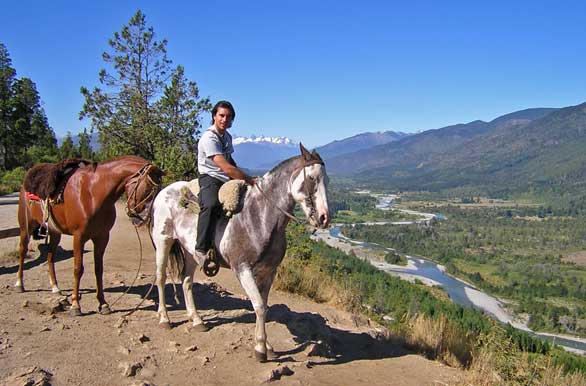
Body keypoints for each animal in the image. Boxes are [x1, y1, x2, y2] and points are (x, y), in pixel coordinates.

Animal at [16, 155, 162, 316]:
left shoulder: (102, 237)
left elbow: (99, 269)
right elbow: (78, 269)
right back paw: (19, 284)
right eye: (148, 188)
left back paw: (55, 287)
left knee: (50, 255)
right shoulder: (79, 237)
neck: (93, 193)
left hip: (55, 232)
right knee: (22, 250)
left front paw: (103, 304)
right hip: (26, 227)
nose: (139, 218)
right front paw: (75, 306)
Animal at [149, 145, 328, 362]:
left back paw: (197, 320)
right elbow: (258, 305)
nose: (324, 218)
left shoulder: (269, 272)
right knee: (161, 277)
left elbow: (264, 306)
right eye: (311, 178)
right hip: (163, 241)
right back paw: (164, 319)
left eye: (327, 180)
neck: (260, 216)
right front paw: (260, 349)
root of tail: (164, 191)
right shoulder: (243, 269)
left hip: (191, 252)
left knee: (186, 281)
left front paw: (267, 346)